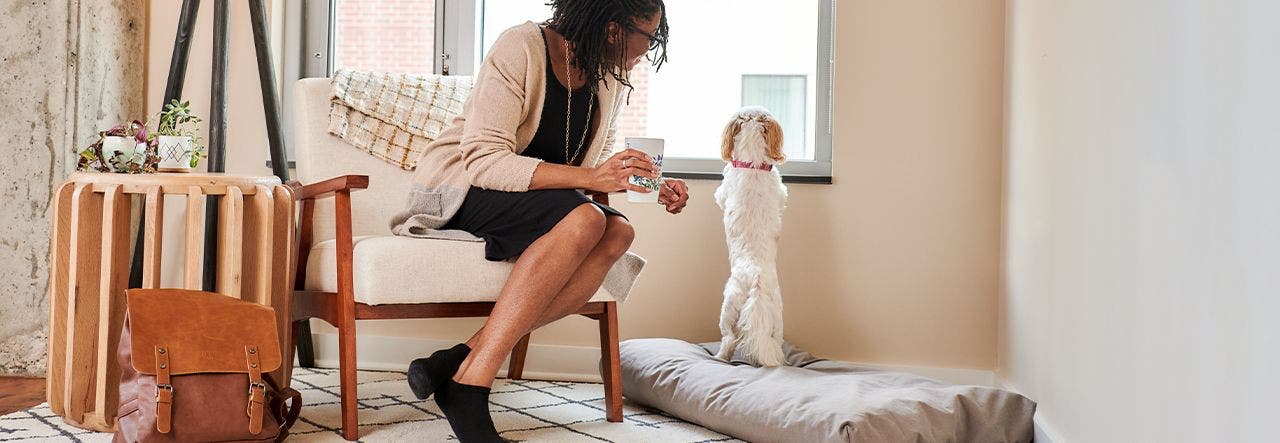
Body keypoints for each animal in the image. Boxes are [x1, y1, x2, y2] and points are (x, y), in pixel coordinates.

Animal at [716, 106, 783, 366]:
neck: (752, 164)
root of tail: (756, 282)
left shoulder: (722, 192)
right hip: (777, 316)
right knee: (772, 341)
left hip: (728, 308)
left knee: (729, 338)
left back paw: (720, 357)